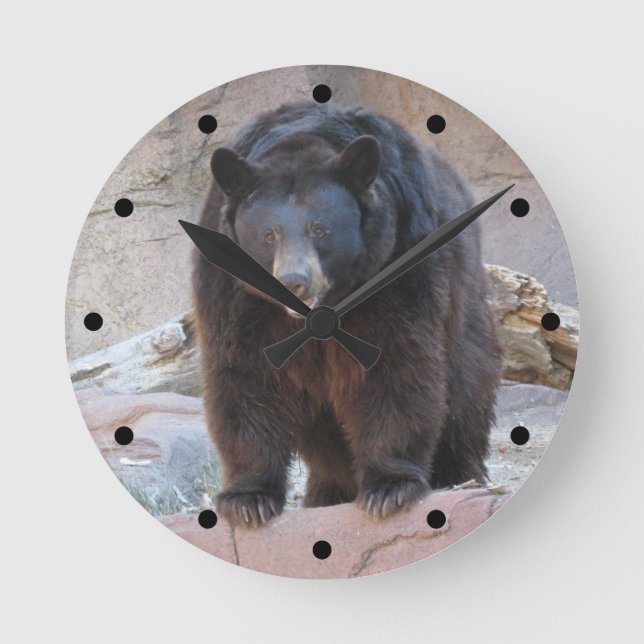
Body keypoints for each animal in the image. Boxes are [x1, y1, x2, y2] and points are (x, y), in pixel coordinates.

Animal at [192, 102, 502, 527]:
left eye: (320, 230)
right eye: (269, 235)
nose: (294, 282)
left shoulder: (400, 262)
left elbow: (395, 365)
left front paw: (389, 488)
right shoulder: (236, 293)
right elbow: (245, 375)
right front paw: (248, 499)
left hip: (465, 304)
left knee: (467, 387)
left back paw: (459, 476)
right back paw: (326, 493)